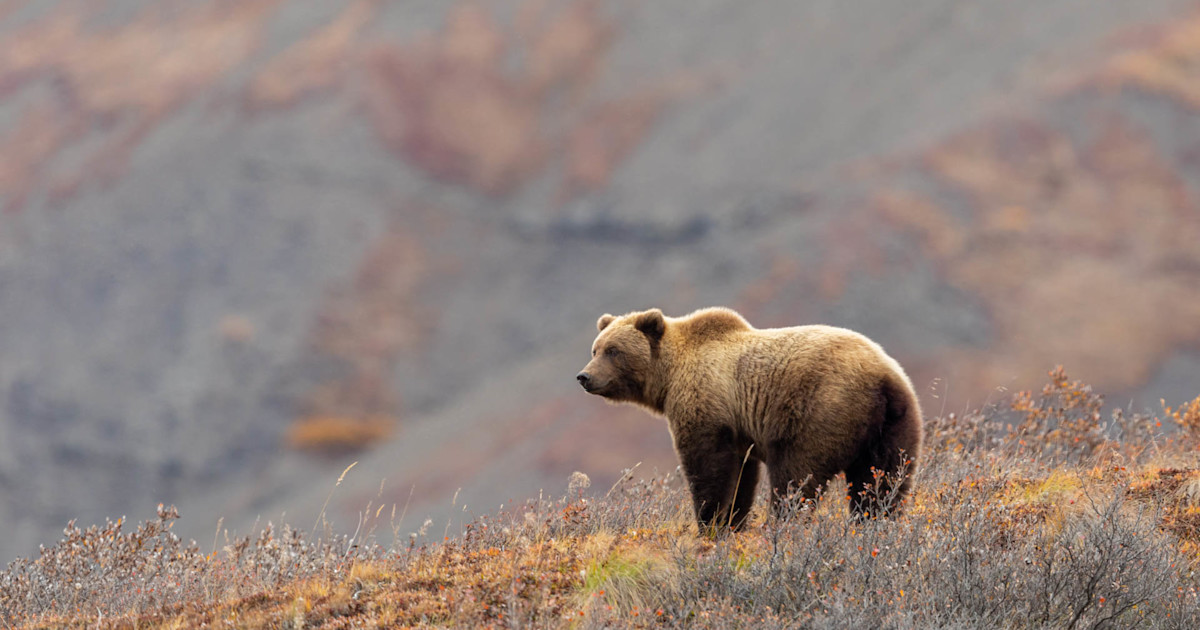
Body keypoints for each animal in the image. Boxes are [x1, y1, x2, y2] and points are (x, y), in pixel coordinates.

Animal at [576, 306, 922, 532]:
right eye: (595, 348)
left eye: (613, 350)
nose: (584, 376)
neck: (669, 376)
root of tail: (882, 378)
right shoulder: (740, 430)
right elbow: (742, 476)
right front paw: (733, 521)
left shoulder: (708, 405)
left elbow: (709, 467)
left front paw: (710, 522)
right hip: (894, 424)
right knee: (883, 480)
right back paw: (874, 523)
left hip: (821, 410)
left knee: (796, 477)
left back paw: (784, 524)